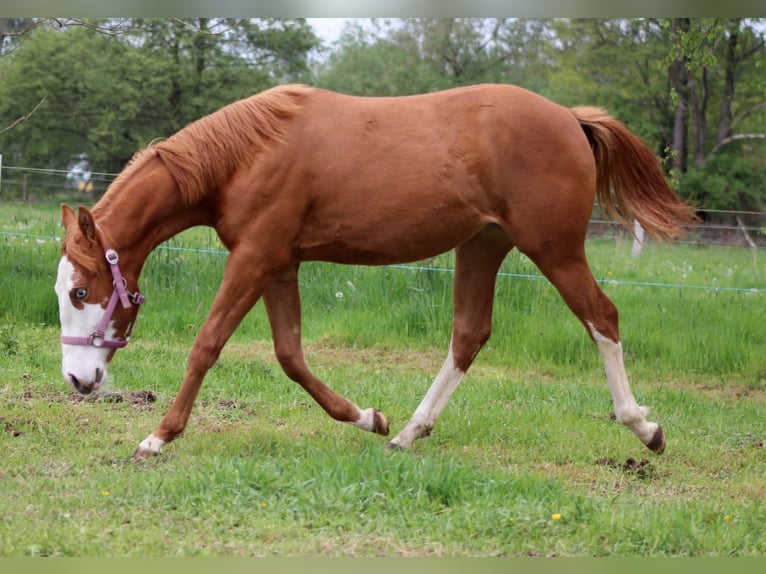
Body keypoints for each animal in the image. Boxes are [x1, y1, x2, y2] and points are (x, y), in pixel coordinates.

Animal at [54, 83, 697, 461]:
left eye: (82, 291)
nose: (78, 381)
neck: (248, 154)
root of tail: (570, 117)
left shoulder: (255, 257)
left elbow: (207, 345)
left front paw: (159, 436)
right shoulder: (280, 264)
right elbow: (290, 355)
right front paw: (367, 418)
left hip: (555, 250)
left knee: (601, 318)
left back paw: (644, 428)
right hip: (483, 247)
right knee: (469, 336)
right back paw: (410, 431)